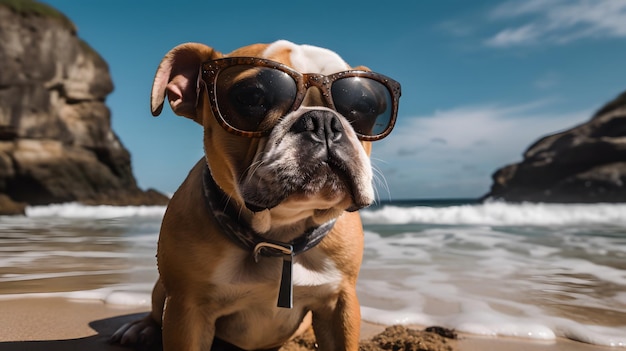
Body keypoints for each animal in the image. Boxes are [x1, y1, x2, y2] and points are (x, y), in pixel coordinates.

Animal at [109, 40, 398, 350]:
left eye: (364, 106)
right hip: (162, 290)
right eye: (251, 97)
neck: (279, 233)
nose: (322, 120)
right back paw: (141, 328)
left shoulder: (340, 303)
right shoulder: (187, 309)